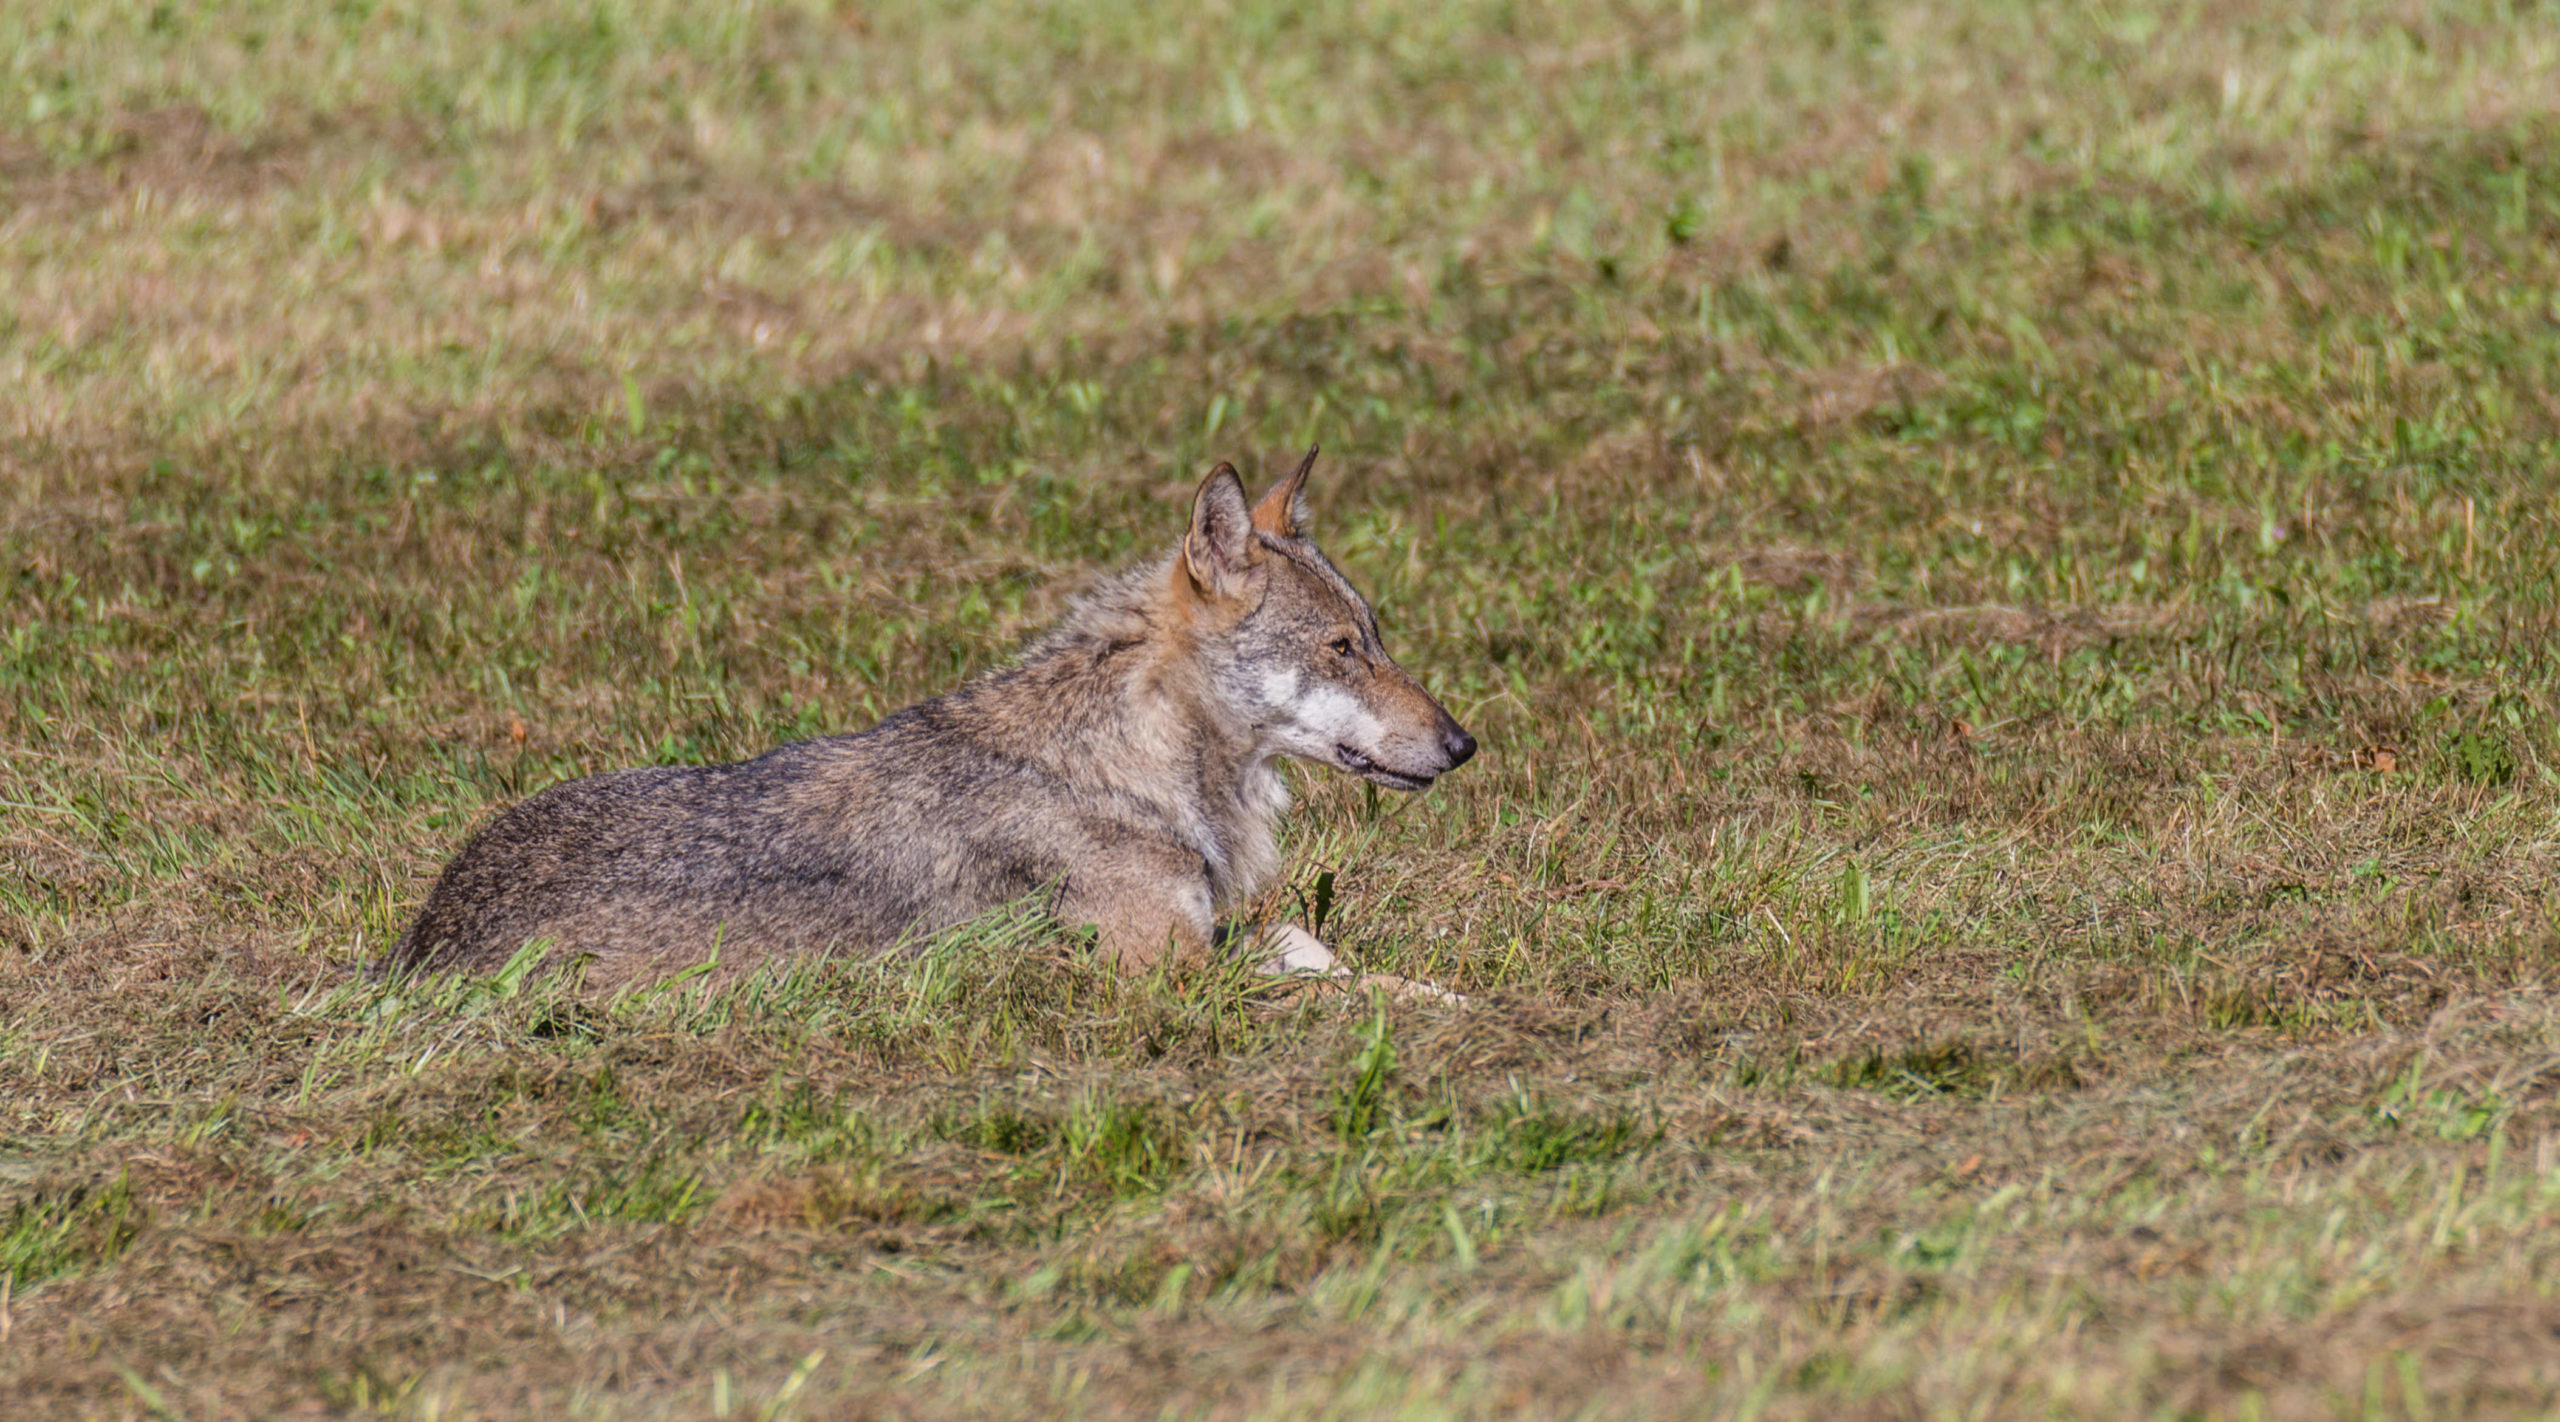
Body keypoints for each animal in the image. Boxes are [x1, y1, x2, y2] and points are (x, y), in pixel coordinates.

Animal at [378, 449, 1477, 996]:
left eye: (1374, 636)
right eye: (1343, 648)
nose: (1465, 744)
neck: (1124, 767)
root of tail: (420, 942)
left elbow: (1303, 943)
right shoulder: (1161, 975)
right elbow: (1336, 987)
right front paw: (1446, 1002)